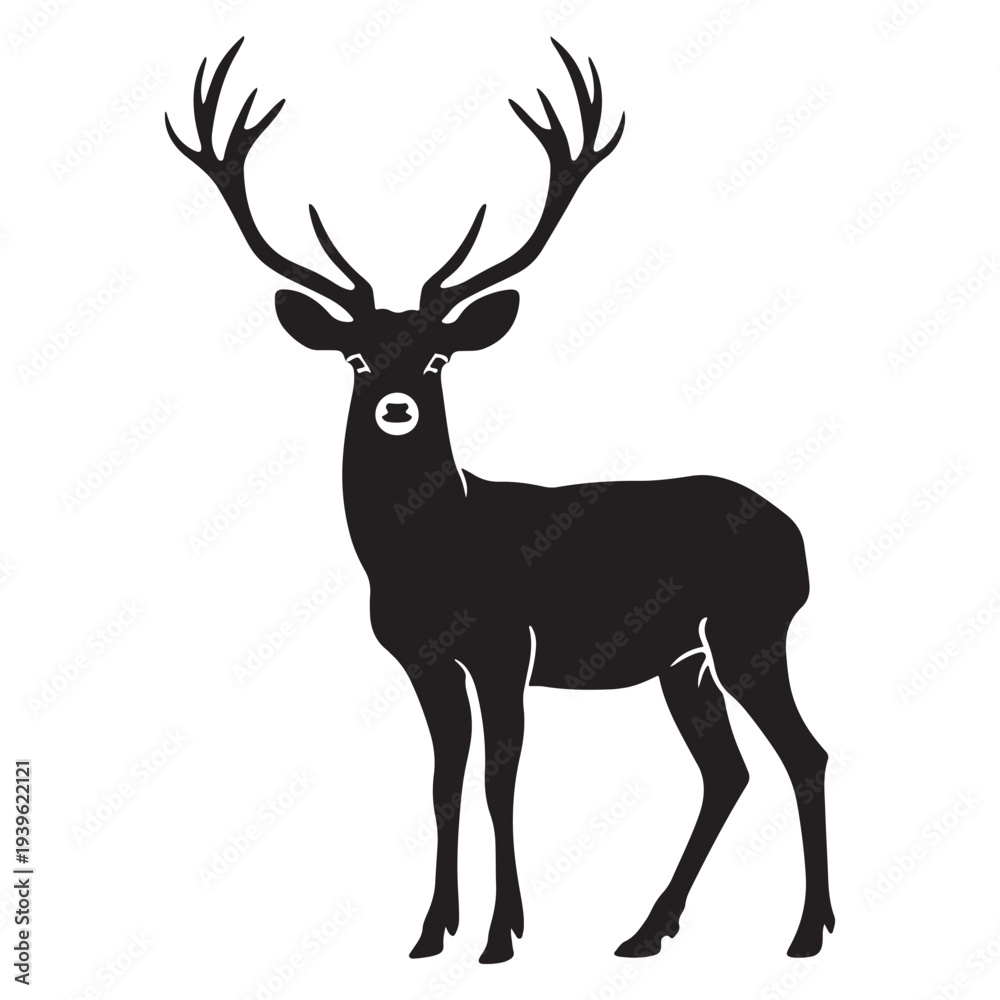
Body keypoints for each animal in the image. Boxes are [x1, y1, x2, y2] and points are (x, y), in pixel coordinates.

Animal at [166, 36, 834, 965]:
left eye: (439, 357)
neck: (430, 558)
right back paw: (647, 931)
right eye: (357, 359)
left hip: (749, 631)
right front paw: (429, 933)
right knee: (727, 772)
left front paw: (500, 935)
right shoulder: (422, 662)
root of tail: (798, 537)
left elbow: (499, 777)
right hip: (685, 661)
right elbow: (444, 781)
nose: (397, 407)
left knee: (805, 755)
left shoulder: (507, 645)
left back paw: (806, 935)